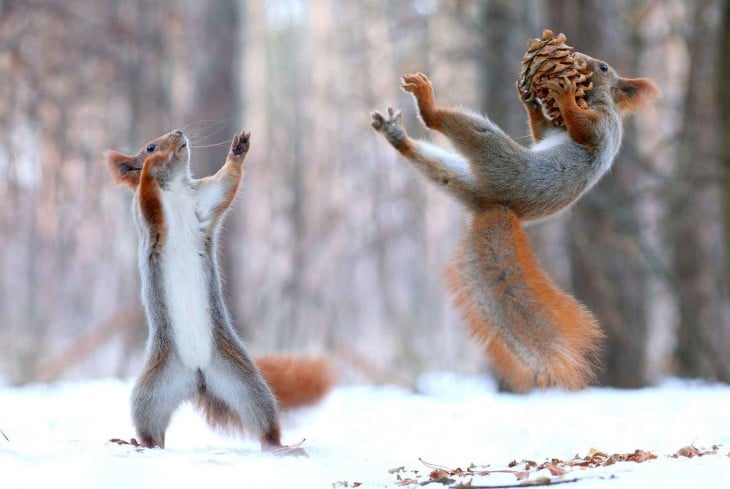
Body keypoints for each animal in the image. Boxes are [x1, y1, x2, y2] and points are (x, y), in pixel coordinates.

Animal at [105, 129, 332, 450]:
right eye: (149, 146)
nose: (179, 133)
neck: (175, 188)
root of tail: (198, 377)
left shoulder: (204, 201)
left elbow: (227, 183)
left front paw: (238, 150)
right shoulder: (147, 218)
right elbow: (148, 198)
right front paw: (151, 166)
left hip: (245, 382)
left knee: (264, 423)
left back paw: (282, 446)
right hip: (150, 393)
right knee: (152, 432)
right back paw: (137, 444)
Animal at [372, 52, 656, 388]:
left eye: (603, 68)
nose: (580, 59)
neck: (595, 98)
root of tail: (495, 205)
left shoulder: (602, 126)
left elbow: (583, 129)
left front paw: (563, 95)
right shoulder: (554, 131)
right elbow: (541, 132)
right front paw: (530, 100)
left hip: (496, 155)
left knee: (444, 124)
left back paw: (426, 102)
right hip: (459, 178)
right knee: (433, 165)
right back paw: (396, 136)